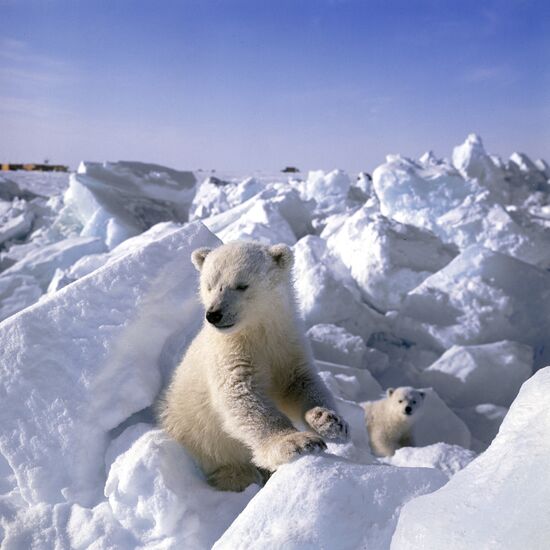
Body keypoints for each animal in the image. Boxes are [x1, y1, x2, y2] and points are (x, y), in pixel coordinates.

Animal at [160, 244, 350, 494]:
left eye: (241, 285)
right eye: (209, 285)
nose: (214, 314)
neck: (254, 331)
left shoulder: (286, 345)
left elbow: (300, 382)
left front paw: (329, 420)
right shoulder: (230, 355)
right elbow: (244, 398)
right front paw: (298, 442)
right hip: (196, 434)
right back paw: (242, 476)